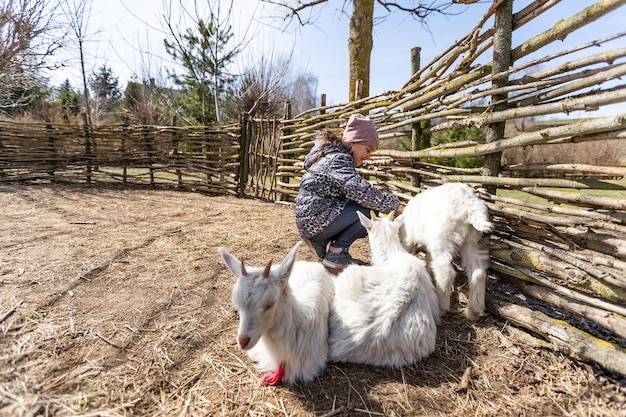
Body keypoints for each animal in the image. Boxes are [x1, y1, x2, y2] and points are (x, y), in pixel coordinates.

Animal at [394, 180, 492, 320]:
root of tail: (470, 206)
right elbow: (429, 260)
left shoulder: (409, 239)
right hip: (471, 241)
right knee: (478, 271)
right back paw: (474, 311)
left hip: (442, 240)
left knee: (446, 272)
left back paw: (442, 306)